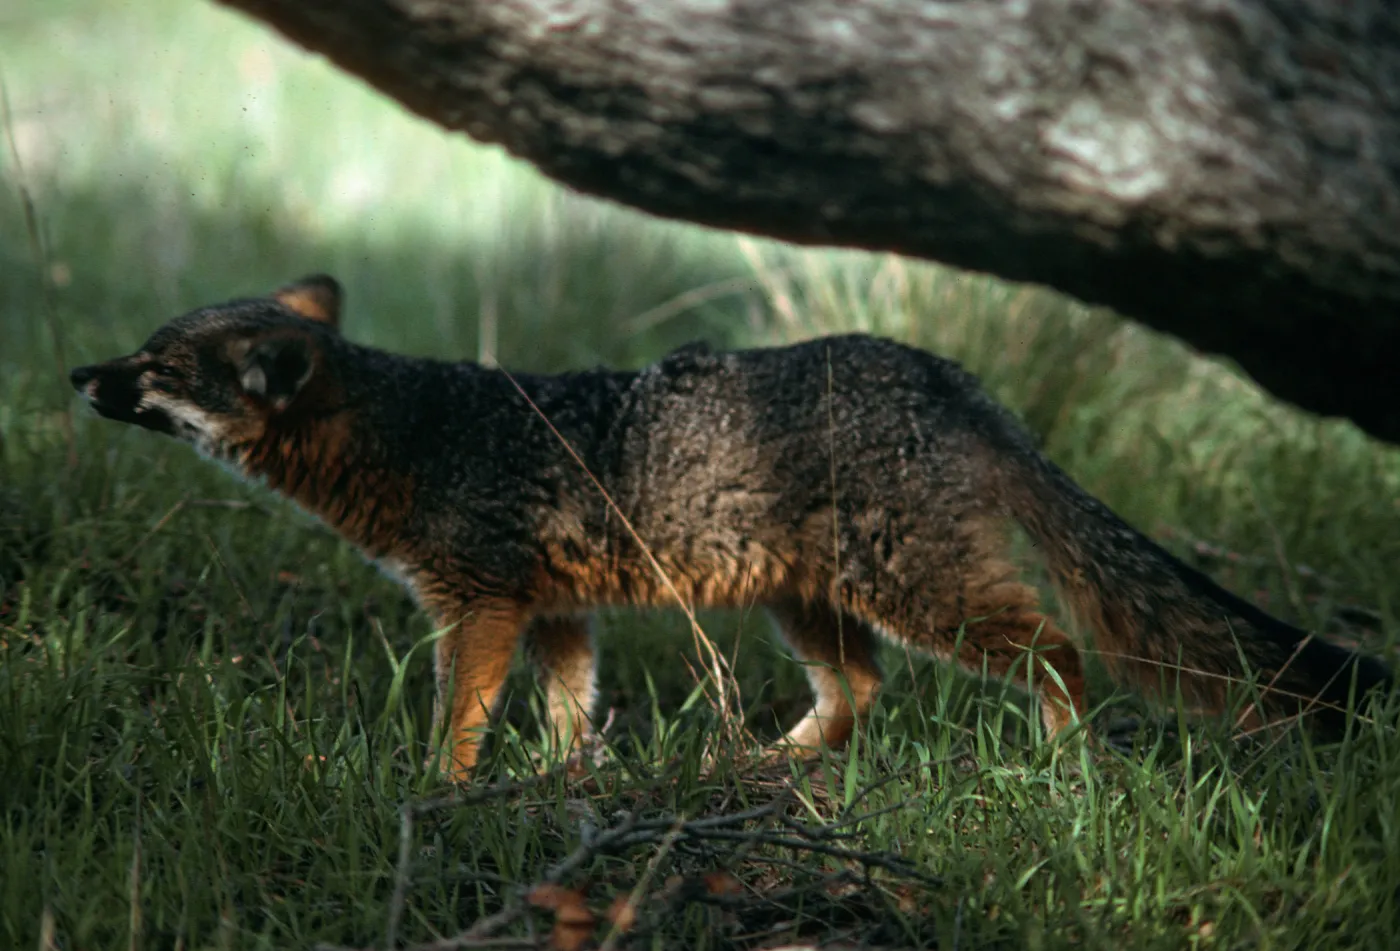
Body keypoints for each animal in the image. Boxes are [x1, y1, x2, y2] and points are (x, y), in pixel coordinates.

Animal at [70, 275, 1391, 781]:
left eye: (157, 369)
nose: (79, 373)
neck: (412, 433)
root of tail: (930, 364)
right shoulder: (553, 611)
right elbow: (570, 713)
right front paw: (561, 784)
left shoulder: (480, 604)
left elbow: (458, 717)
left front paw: (438, 790)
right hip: (801, 599)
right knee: (860, 688)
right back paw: (767, 760)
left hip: (913, 590)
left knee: (1053, 649)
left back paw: (1061, 761)